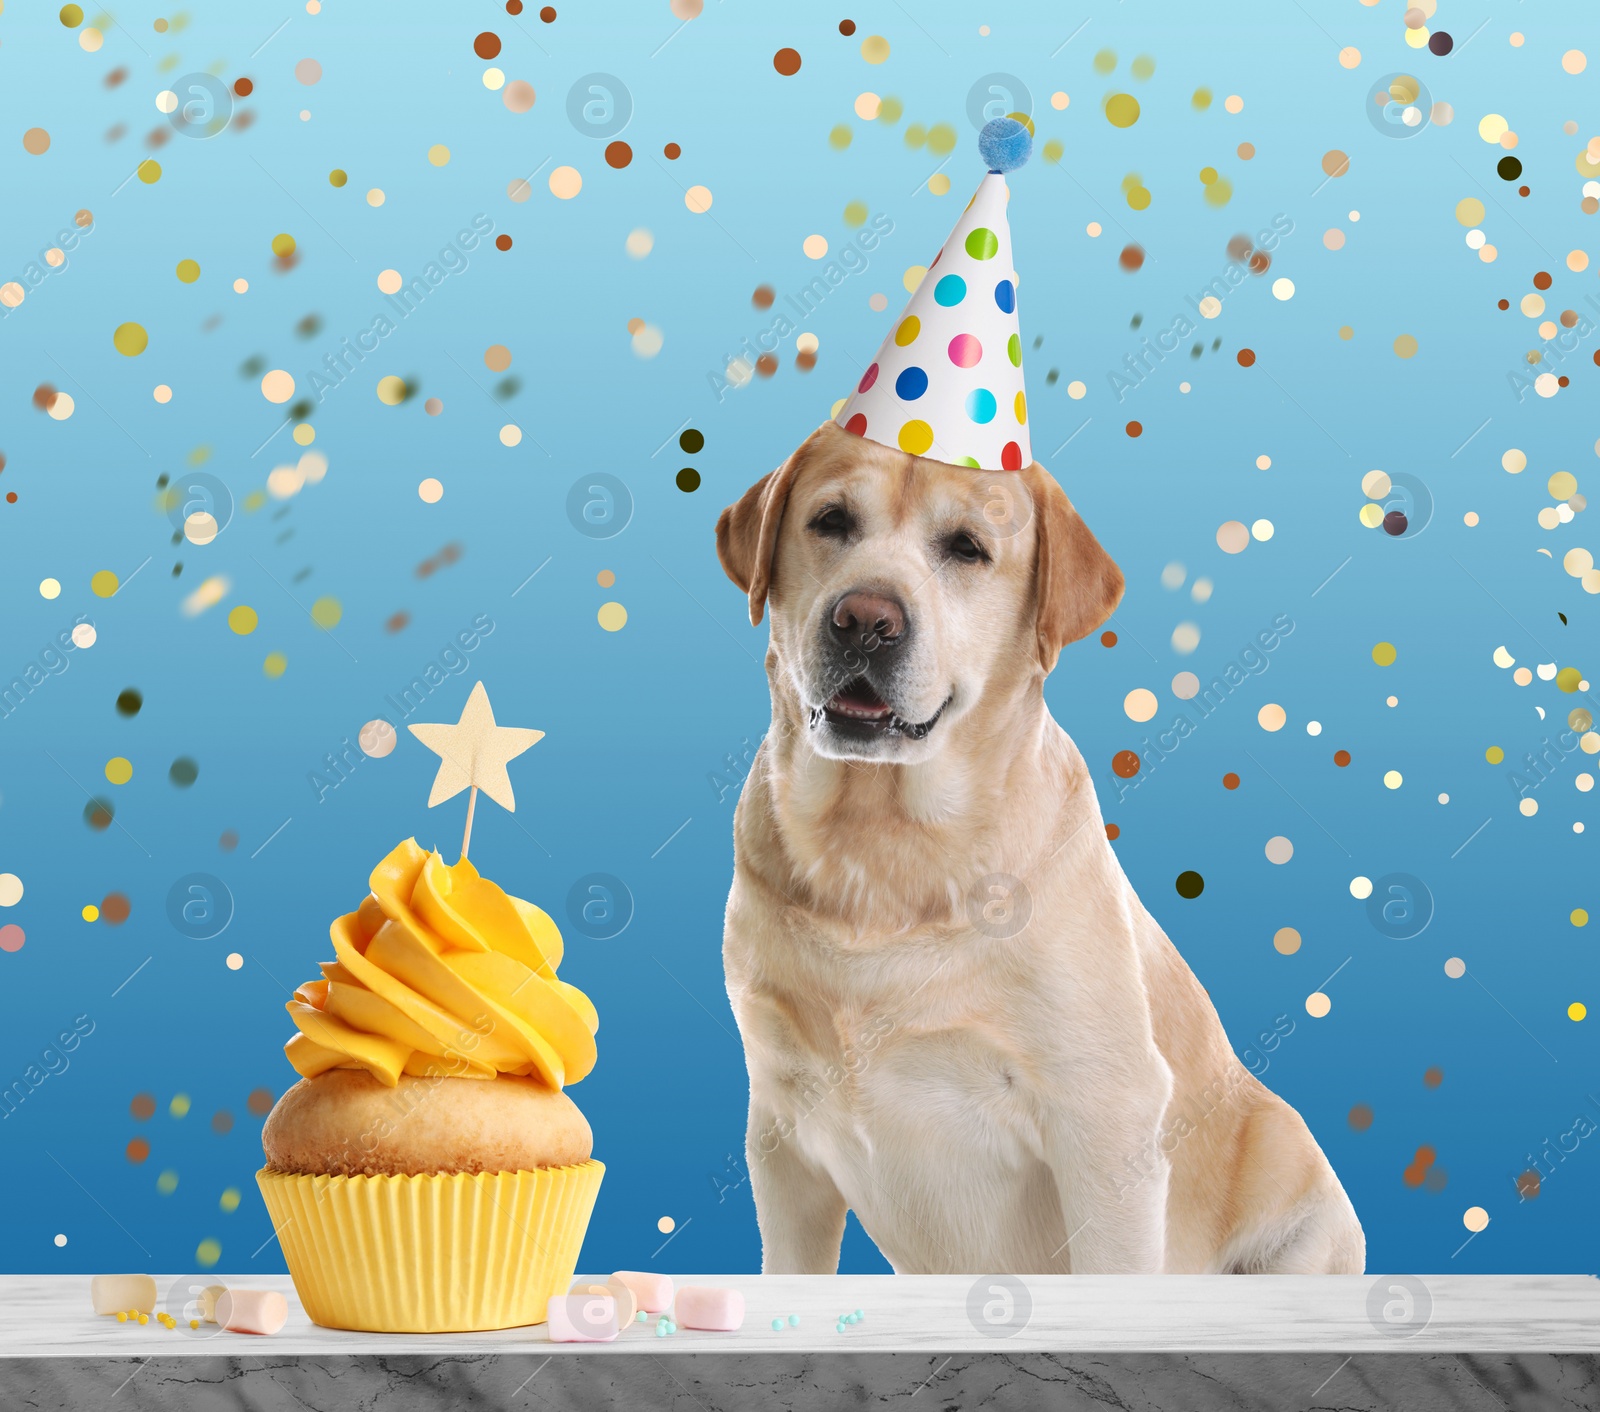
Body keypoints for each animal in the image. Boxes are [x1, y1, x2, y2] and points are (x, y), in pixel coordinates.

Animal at [713, 419, 1363, 1274]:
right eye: (830, 521)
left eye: (967, 548)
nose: (865, 620)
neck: (884, 849)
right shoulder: (782, 1129)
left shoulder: (1106, 1121)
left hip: (1297, 1192)